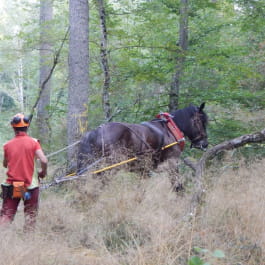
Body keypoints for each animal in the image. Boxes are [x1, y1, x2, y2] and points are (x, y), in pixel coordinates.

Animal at [76, 102, 208, 176]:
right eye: (201, 121)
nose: (205, 144)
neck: (170, 129)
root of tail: (96, 131)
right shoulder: (172, 163)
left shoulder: (142, 169)